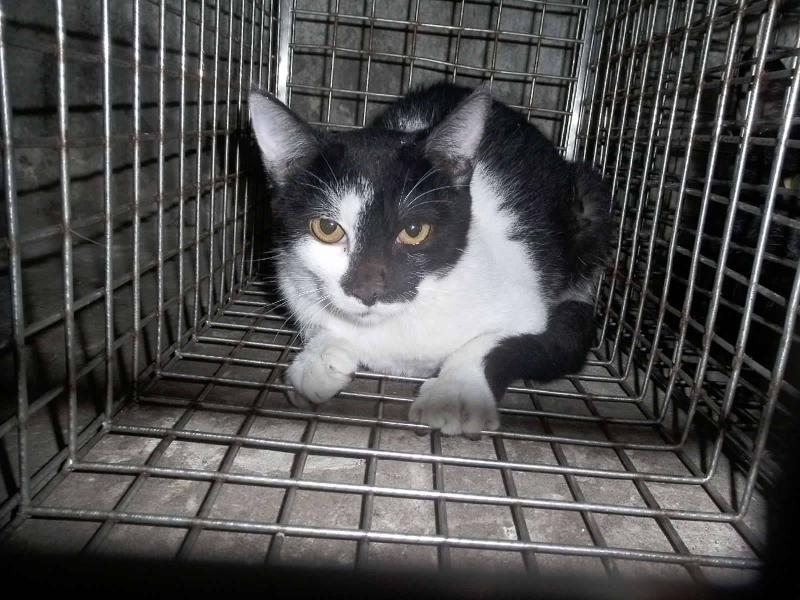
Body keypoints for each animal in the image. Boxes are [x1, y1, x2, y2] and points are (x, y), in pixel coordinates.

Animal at [248, 83, 610, 437]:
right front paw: (318, 359)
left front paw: (457, 390)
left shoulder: (523, 293)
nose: (368, 291)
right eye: (326, 228)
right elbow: (317, 322)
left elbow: (509, 341)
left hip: (588, 201)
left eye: (414, 230)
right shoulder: (291, 277)